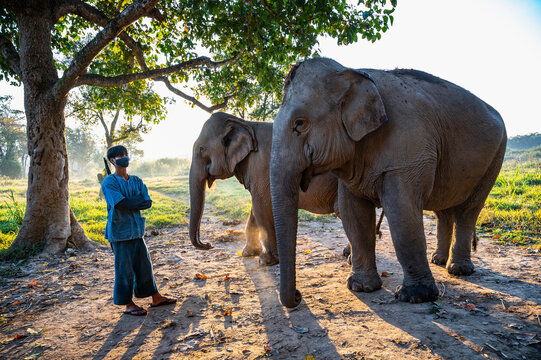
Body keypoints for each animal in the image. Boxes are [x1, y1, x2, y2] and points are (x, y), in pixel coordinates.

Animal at [187, 111, 338, 266]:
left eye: (201, 149)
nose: (209, 245)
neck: (244, 123)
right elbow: (255, 208)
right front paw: (248, 253)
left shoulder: (261, 167)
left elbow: (261, 206)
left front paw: (266, 261)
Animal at [270, 57, 506, 308]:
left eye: (300, 123)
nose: (298, 295)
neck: (352, 71)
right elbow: (354, 214)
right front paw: (361, 287)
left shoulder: (409, 146)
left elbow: (401, 212)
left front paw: (414, 296)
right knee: (443, 211)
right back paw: (439, 261)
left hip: (495, 158)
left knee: (467, 211)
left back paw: (458, 270)